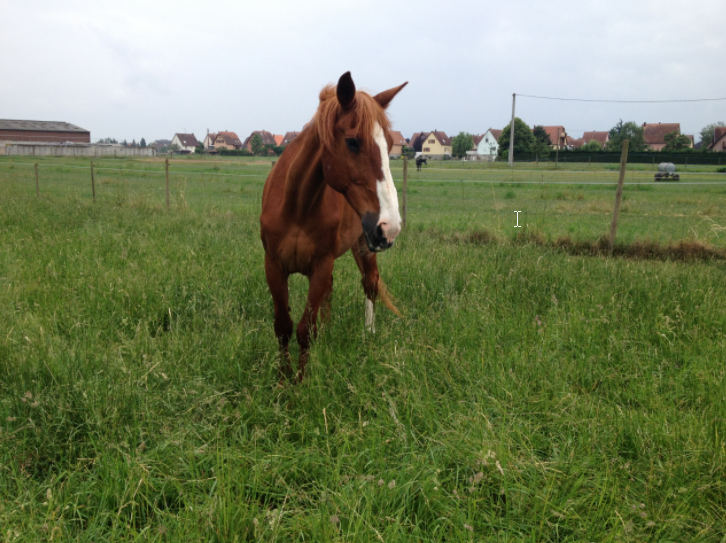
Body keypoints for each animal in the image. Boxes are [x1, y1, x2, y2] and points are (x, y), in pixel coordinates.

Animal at [262, 72, 410, 382]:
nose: (391, 226)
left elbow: (304, 329)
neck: (297, 205)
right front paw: (282, 379)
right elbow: (283, 326)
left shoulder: (321, 264)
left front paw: (301, 381)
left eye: (391, 143)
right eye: (353, 142)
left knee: (370, 283)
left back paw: (368, 333)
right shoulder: (274, 265)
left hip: (365, 245)